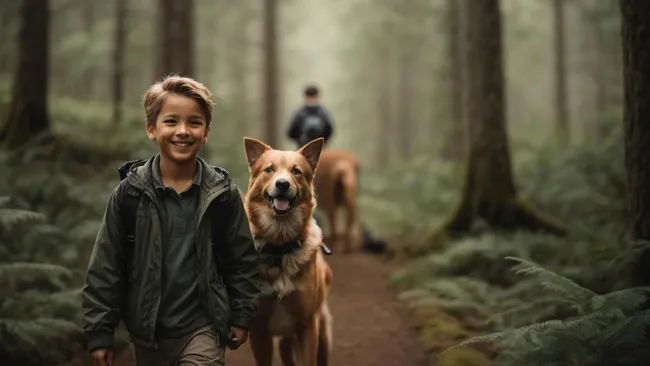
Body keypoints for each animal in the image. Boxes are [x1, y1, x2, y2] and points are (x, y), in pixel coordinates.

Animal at [242, 137, 332, 366]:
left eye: (296, 171)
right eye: (269, 169)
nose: (282, 184)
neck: (280, 248)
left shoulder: (307, 327)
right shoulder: (259, 331)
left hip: (322, 336)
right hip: (285, 343)